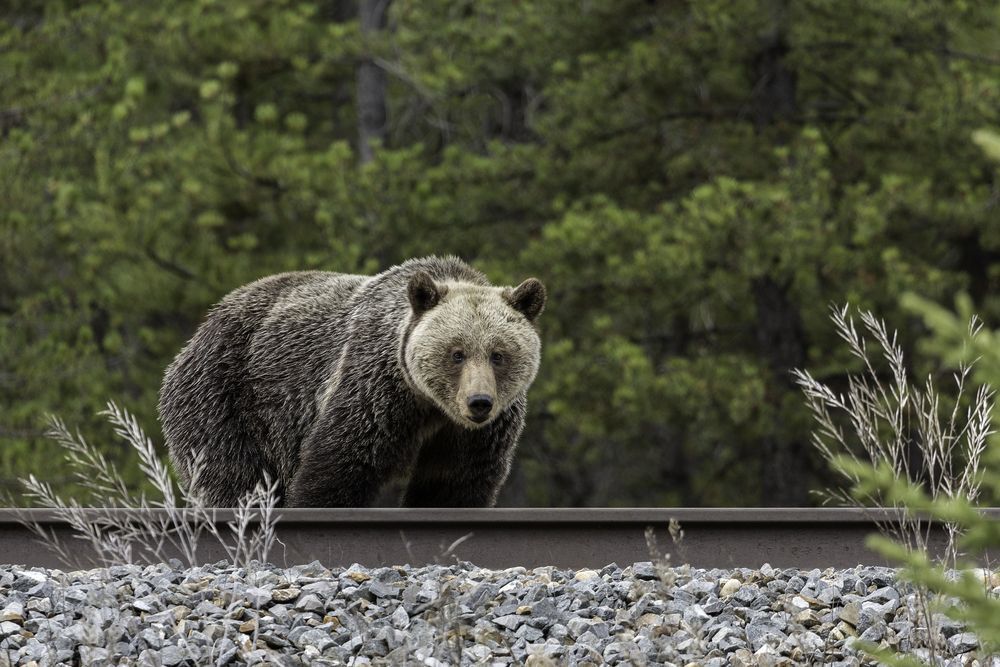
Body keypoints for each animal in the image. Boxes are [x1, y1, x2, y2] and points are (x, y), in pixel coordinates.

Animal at [157, 256, 546, 508]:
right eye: (457, 353)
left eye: (498, 354)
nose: (478, 402)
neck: (430, 406)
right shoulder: (375, 391)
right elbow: (338, 467)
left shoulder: (473, 435)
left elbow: (453, 485)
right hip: (225, 396)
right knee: (233, 477)